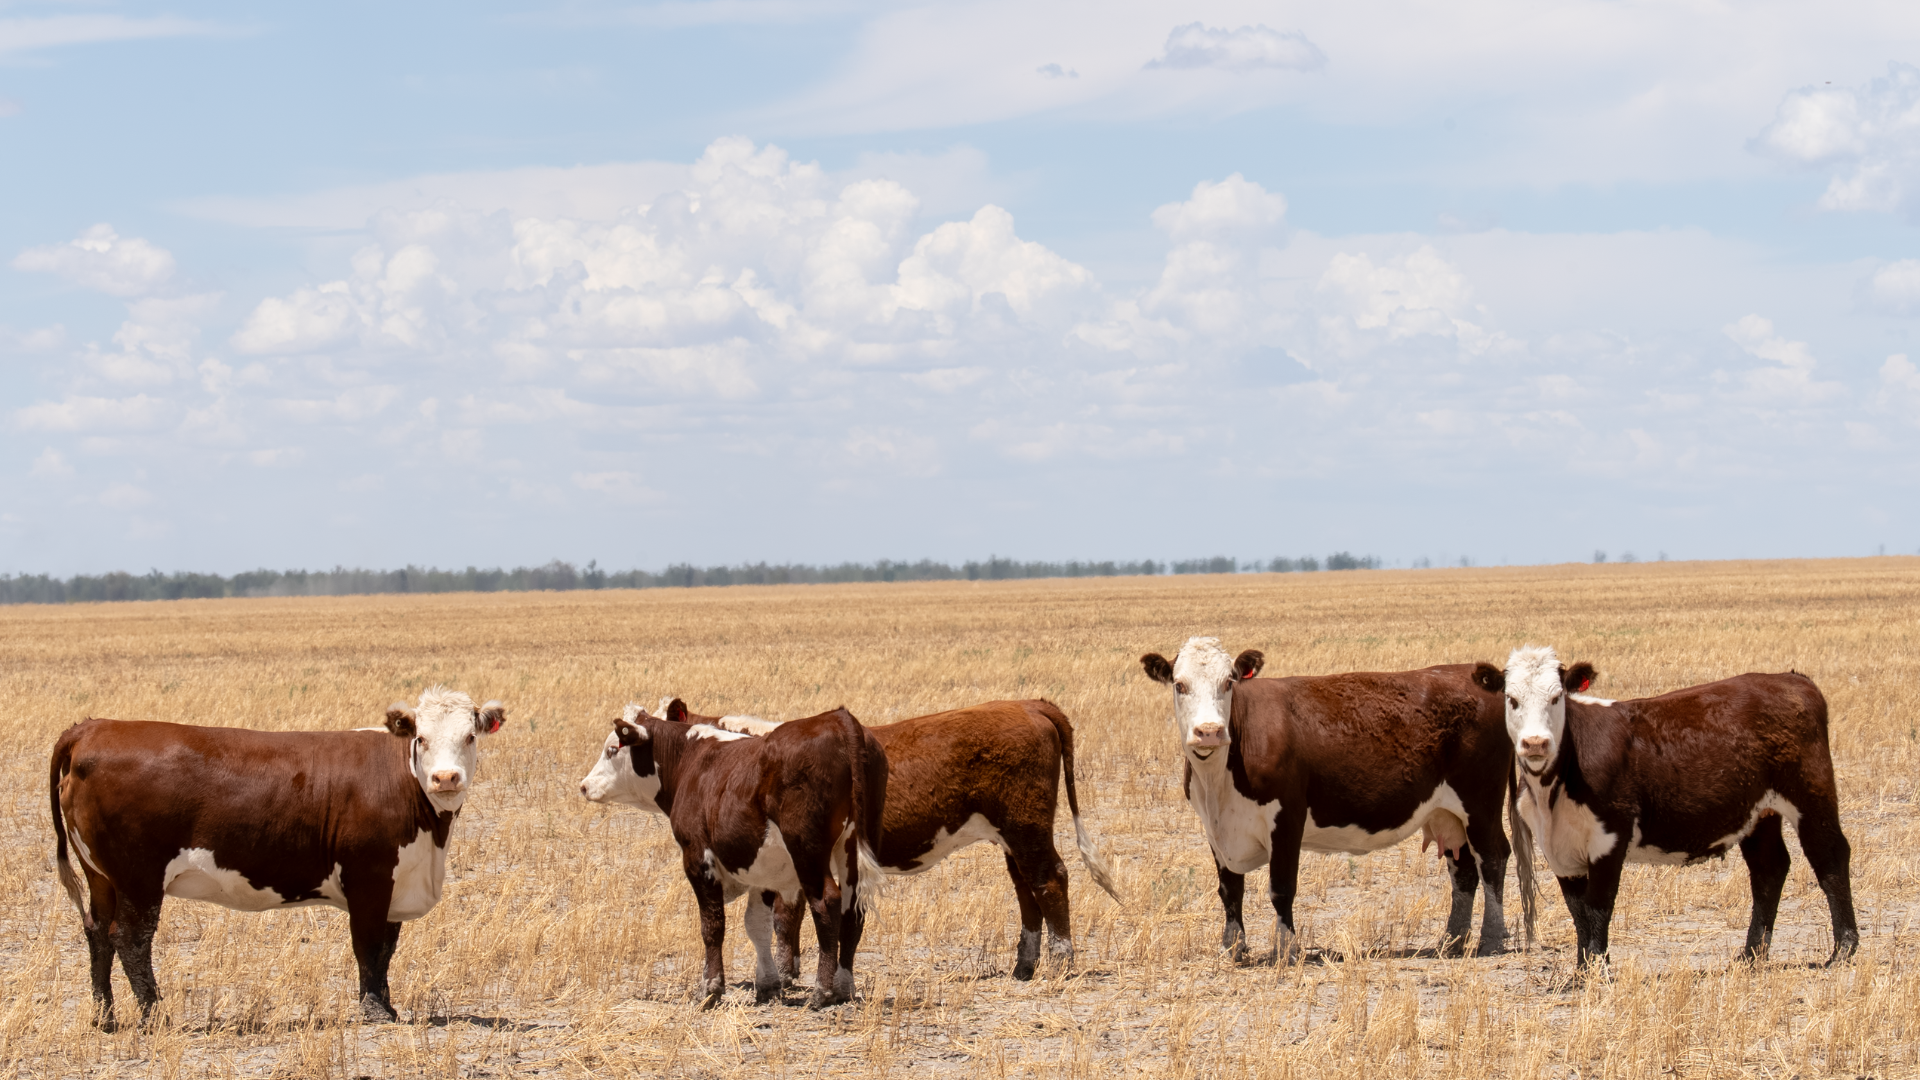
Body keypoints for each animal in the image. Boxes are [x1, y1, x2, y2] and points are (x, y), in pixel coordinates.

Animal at [48, 687, 506, 1027]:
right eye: (421, 738)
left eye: (469, 737)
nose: (445, 777)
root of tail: (93, 728)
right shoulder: (369, 877)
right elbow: (367, 944)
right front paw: (375, 1010)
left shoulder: (396, 883)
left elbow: (386, 950)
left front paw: (388, 1006)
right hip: (138, 877)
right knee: (130, 938)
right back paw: (154, 1016)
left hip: (101, 876)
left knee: (96, 932)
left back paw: (105, 1017)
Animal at [578, 704, 886, 1009]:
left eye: (612, 749)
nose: (584, 786)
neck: (691, 761)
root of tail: (838, 719)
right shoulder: (764, 870)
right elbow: (757, 925)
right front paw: (768, 983)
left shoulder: (698, 858)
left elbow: (712, 925)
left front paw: (710, 988)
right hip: (850, 850)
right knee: (852, 909)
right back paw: (844, 986)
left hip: (808, 853)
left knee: (827, 903)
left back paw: (822, 991)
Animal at [660, 698, 1122, 982]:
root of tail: (1029, 704)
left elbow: (786, 917)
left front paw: (788, 974)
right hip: (1013, 838)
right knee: (1027, 890)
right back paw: (1024, 966)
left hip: (1027, 828)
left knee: (1050, 880)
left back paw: (1060, 963)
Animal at [1140, 637, 1518, 961]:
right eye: (1179, 684)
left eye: (1229, 682)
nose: (1209, 731)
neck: (1218, 781)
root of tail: (1478, 676)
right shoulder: (1215, 828)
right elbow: (1230, 889)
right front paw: (1232, 948)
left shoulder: (1287, 818)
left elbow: (1281, 888)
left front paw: (1286, 950)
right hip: (1447, 814)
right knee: (1464, 870)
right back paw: (1451, 941)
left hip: (1480, 803)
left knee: (1493, 858)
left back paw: (1490, 939)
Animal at [1479, 645, 1859, 968]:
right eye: (1511, 699)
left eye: (1557, 697)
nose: (1535, 743)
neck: (1554, 789)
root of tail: (1792, 679)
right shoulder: (1558, 849)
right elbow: (1578, 912)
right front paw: (1583, 970)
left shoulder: (1610, 837)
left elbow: (1599, 905)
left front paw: (1599, 970)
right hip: (1758, 813)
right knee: (1769, 870)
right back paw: (1751, 954)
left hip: (1811, 795)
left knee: (1830, 857)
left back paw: (1843, 949)